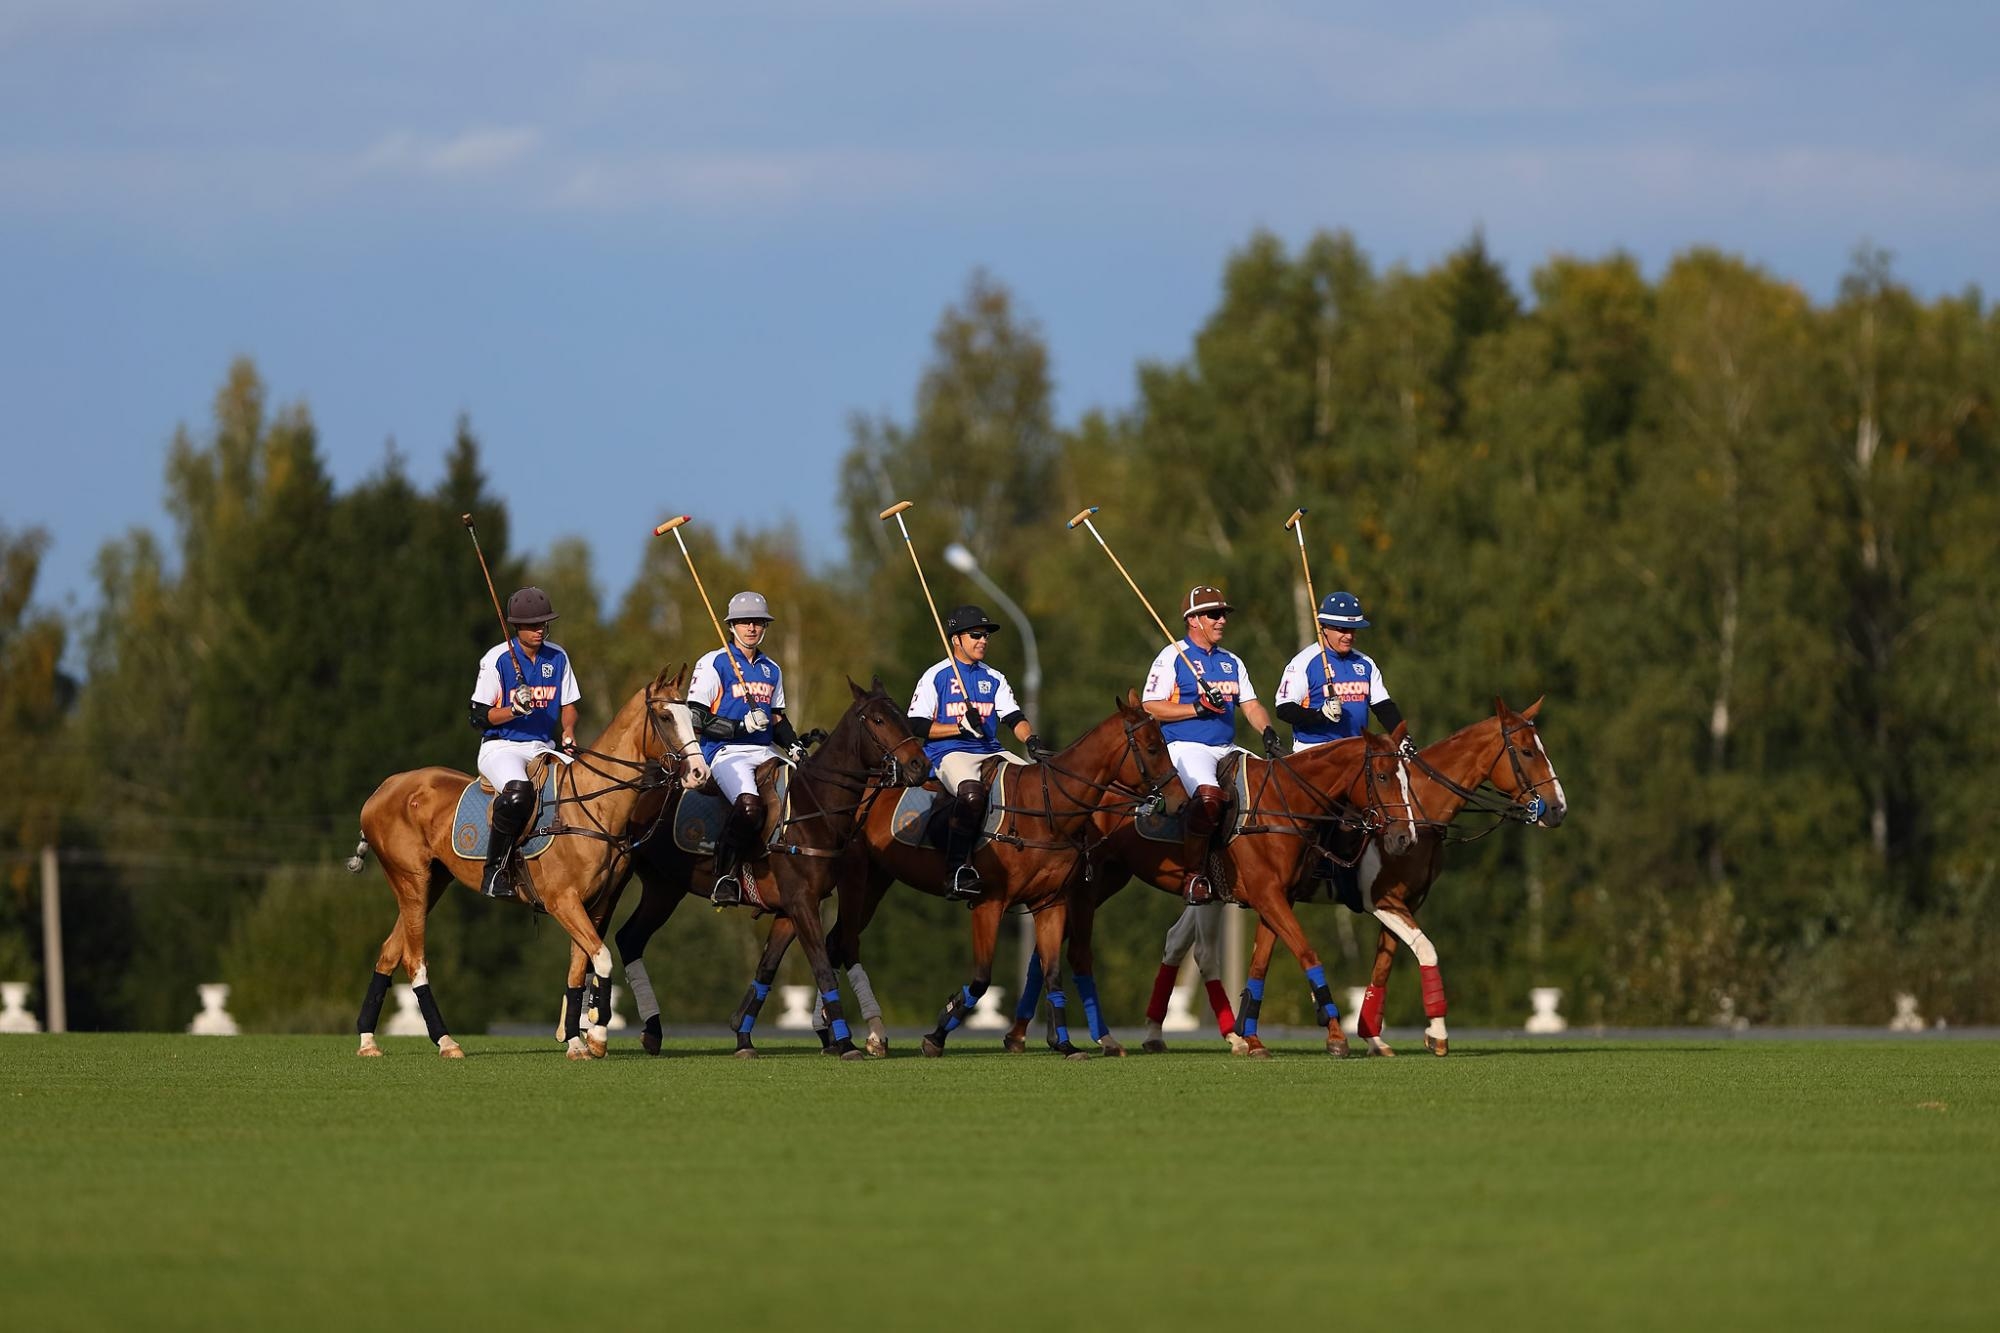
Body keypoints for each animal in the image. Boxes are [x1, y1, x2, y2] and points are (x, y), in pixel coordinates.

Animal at [348, 664, 708, 1056]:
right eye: (665, 717)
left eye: (692, 718)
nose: (699, 774)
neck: (594, 806)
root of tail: (383, 788)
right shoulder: (562, 901)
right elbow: (601, 958)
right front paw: (595, 1037)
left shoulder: (597, 905)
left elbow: (580, 968)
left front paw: (577, 1042)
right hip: (411, 878)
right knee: (414, 959)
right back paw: (445, 1041)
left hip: (433, 882)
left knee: (388, 951)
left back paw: (368, 1039)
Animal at [572, 676, 928, 1056]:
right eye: (878, 720)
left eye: (902, 716)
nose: (920, 766)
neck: (814, 809)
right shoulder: (801, 902)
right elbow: (821, 968)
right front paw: (845, 1044)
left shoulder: (790, 909)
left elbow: (766, 969)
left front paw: (742, 1037)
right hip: (615, 880)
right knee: (597, 938)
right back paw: (589, 1030)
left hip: (664, 887)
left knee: (629, 939)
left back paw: (650, 1031)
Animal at [1008, 720, 1416, 1056]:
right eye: (1382, 776)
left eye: (1407, 778)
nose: (1403, 838)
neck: (1284, 804)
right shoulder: (1268, 896)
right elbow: (1308, 953)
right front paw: (1335, 1035)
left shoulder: (1276, 899)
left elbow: (1260, 965)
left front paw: (1252, 1039)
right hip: (1085, 888)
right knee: (1068, 952)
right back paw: (1074, 1037)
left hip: (1106, 879)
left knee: (1044, 952)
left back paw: (1026, 1035)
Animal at [1240, 700, 1568, 1056]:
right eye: (1526, 752)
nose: (1558, 809)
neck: (1420, 812)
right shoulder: (1381, 900)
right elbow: (1426, 949)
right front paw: (1437, 1034)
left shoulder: (1407, 901)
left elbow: (1383, 968)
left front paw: (1374, 1037)